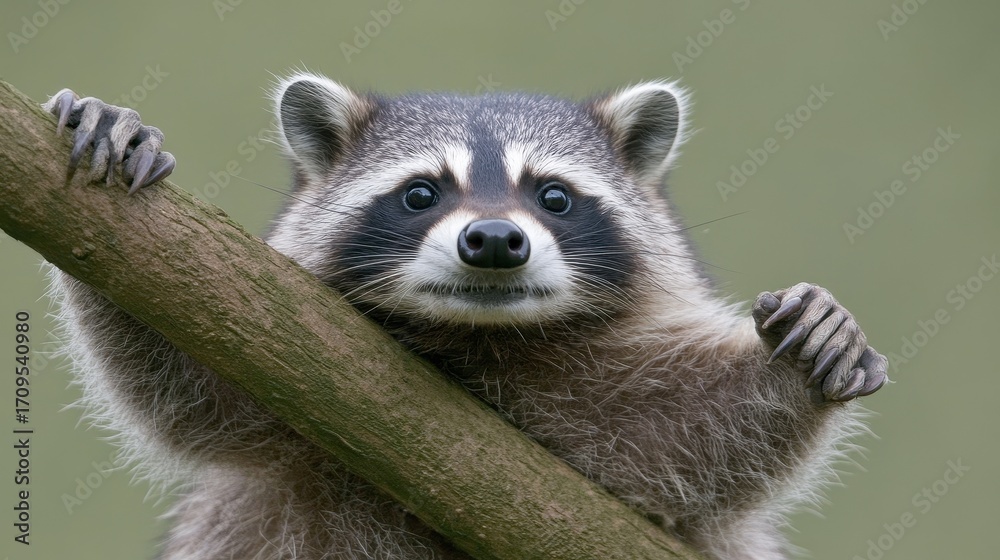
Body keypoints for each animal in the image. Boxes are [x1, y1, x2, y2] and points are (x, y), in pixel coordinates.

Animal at [43, 73, 888, 560]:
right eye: (421, 194)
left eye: (554, 196)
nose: (493, 240)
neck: (481, 337)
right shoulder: (283, 366)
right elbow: (186, 377)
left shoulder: (601, 394)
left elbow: (691, 440)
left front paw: (802, 357)